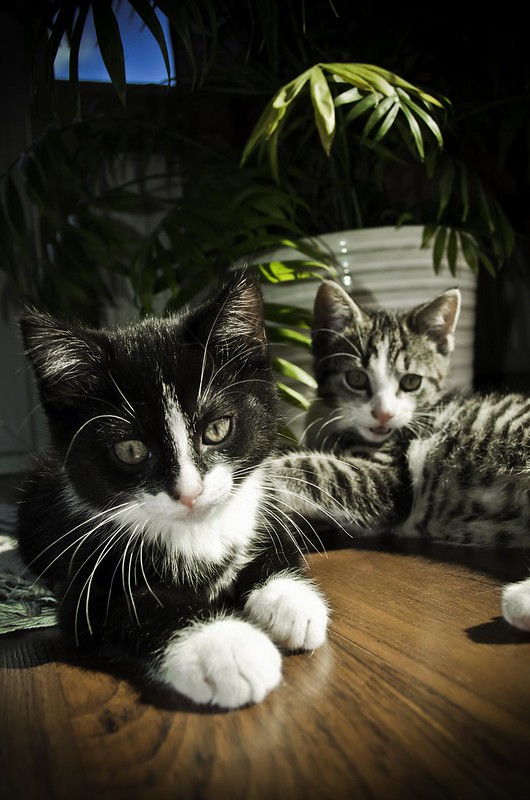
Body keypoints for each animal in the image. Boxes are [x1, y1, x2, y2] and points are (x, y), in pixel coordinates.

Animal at [16, 272, 328, 708]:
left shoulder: (258, 505)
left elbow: (276, 544)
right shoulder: (86, 583)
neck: (197, 532)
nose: (189, 493)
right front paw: (228, 649)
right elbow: (144, 608)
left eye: (217, 429)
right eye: (131, 450)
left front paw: (292, 602)